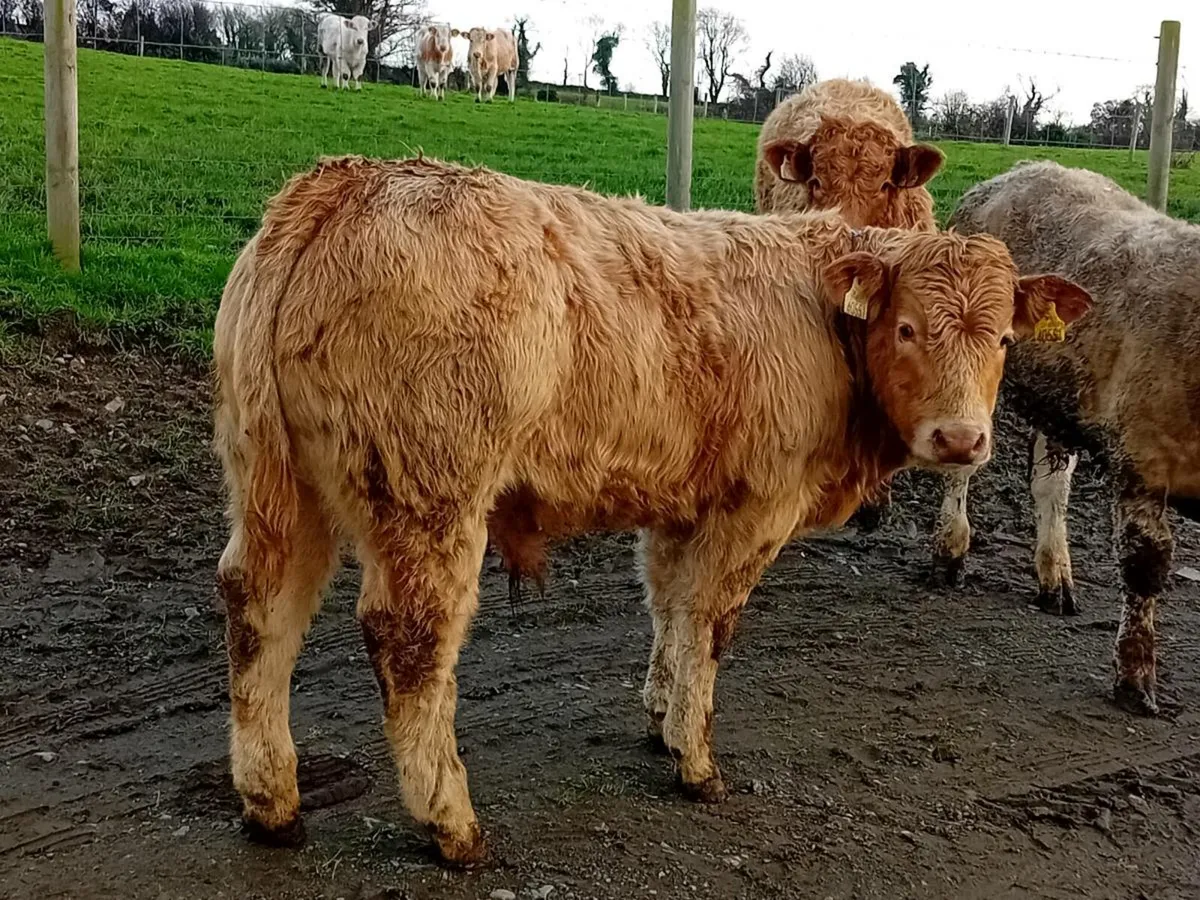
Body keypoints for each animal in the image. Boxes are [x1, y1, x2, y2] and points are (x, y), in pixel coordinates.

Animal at [212, 154, 1090, 866]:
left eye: (1003, 341)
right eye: (906, 328)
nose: (961, 438)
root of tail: (349, 182)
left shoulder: (680, 500)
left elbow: (668, 606)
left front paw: (662, 711)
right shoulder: (757, 504)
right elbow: (709, 621)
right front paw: (695, 759)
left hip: (273, 485)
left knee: (259, 608)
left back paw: (271, 802)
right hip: (432, 496)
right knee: (410, 641)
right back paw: (450, 825)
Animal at [929, 158, 1200, 717]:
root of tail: (1022, 168)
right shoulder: (1141, 456)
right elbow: (1145, 563)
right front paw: (1134, 678)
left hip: (1058, 397)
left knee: (1051, 485)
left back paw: (1055, 577)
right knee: (963, 463)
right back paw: (950, 551)